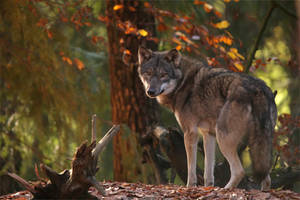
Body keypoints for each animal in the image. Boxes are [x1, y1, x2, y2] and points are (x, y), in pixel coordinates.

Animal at [137, 46, 278, 189]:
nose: (150, 91)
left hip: (224, 139)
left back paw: (226, 189)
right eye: (148, 73)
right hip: (255, 143)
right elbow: (208, 170)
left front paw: (190, 186)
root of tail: (259, 89)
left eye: (163, 75)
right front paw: (208, 187)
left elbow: (191, 168)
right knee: (266, 178)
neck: (182, 83)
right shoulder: (208, 134)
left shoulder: (190, 133)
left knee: (240, 171)